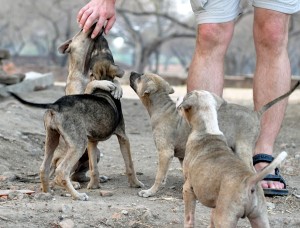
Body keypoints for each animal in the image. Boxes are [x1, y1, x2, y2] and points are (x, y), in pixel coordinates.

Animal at [177, 90, 288, 228]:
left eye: (187, 95)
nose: (179, 98)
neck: (208, 129)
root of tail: (249, 180)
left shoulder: (188, 189)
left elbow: (189, 217)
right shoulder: (216, 201)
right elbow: (211, 217)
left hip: (225, 218)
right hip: (260, 217)